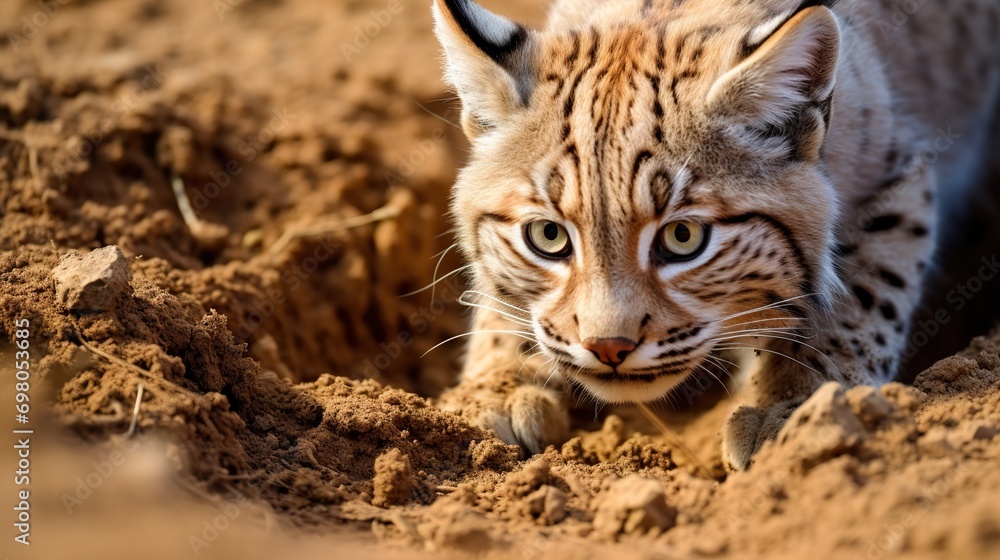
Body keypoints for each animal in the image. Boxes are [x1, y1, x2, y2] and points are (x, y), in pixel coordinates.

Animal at [430, 0, 1000, 471]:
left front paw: (802, 407)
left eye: (683, 237)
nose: (608, 347)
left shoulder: (899, 177)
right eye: (548, 235)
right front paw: (492, 388)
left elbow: (856, 296)